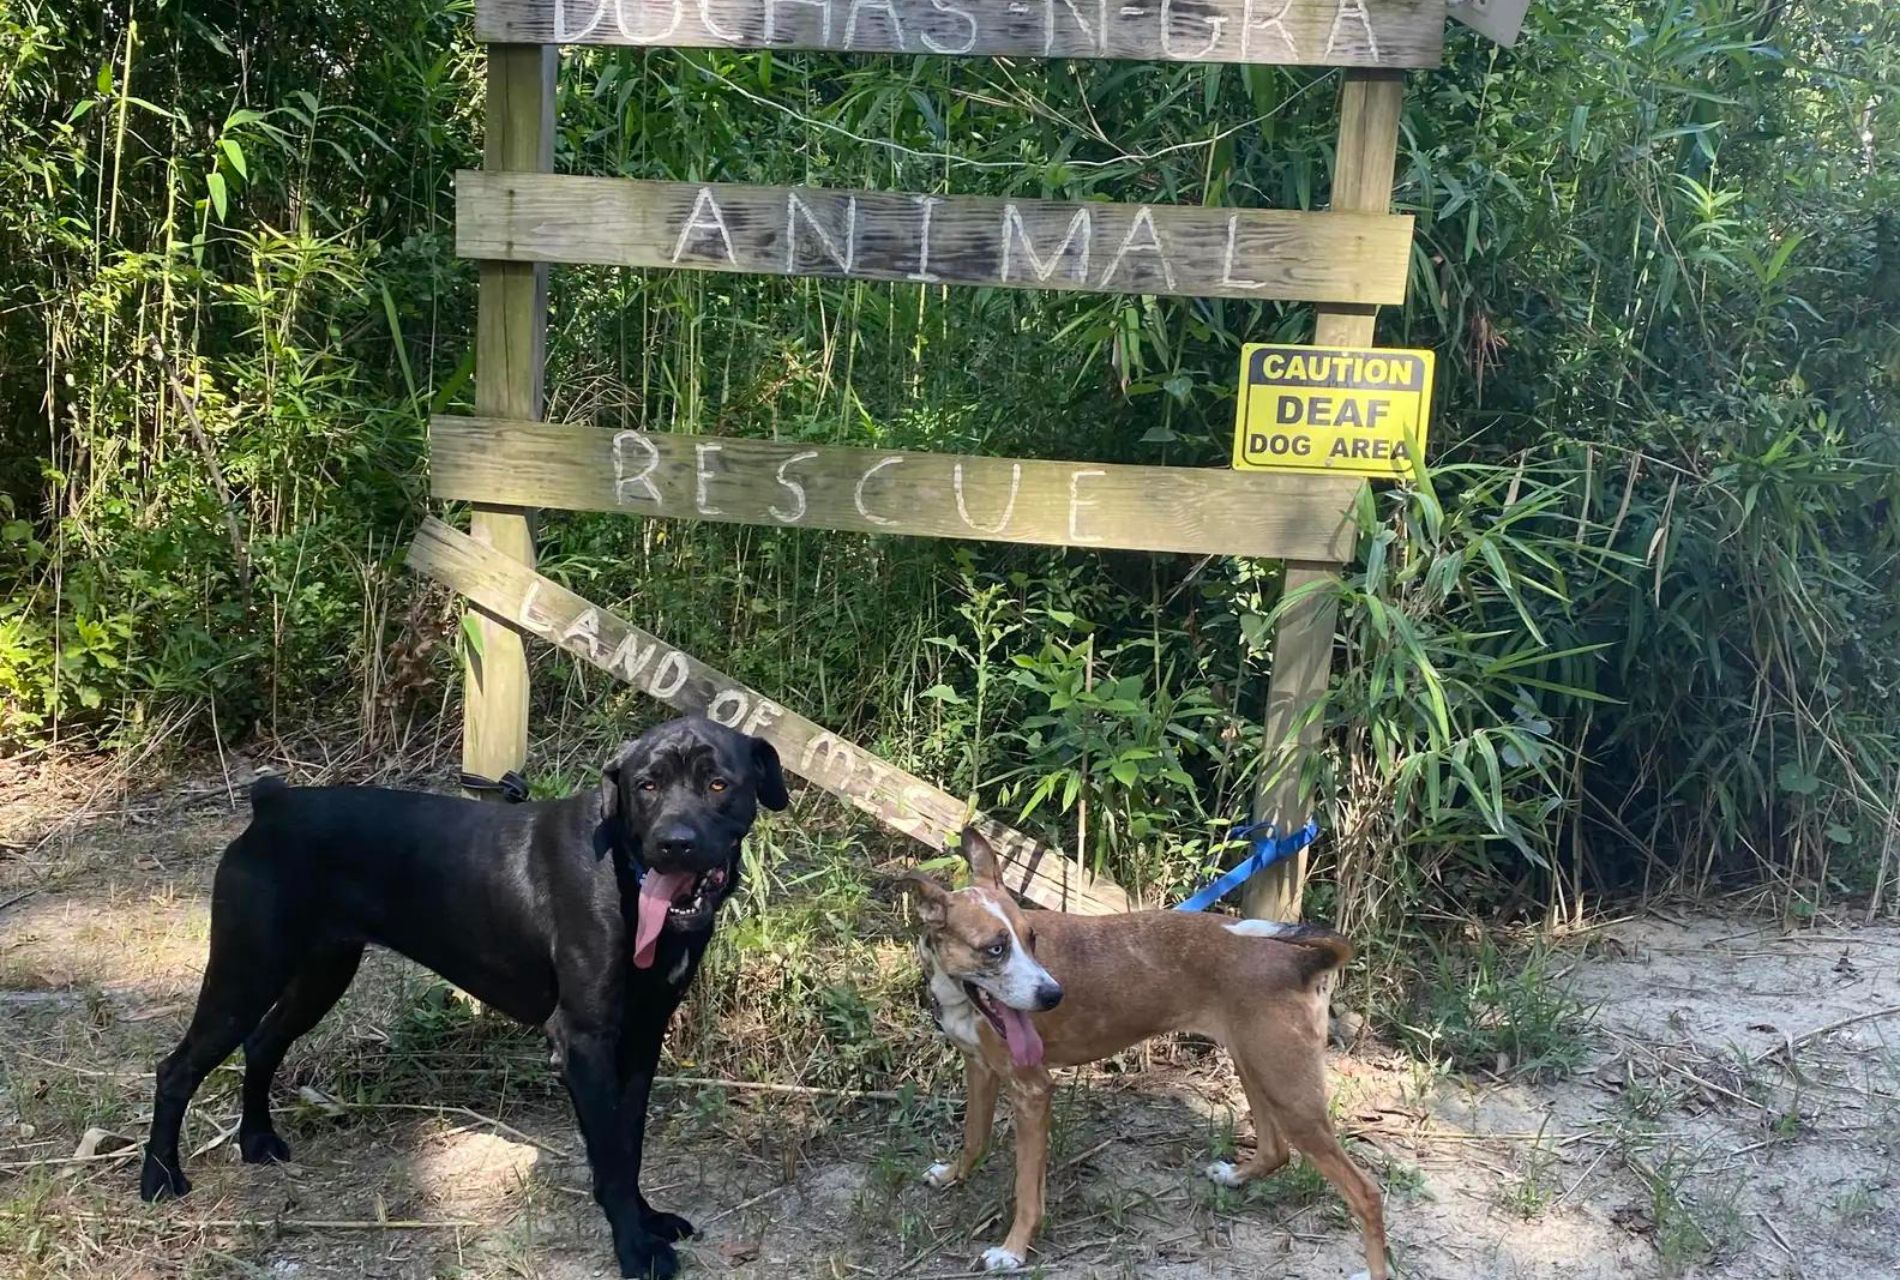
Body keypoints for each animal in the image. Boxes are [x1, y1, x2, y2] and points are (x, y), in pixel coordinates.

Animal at [137, 714, 782, 1268]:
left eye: (718, 783)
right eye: (646, 786)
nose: (674, 842)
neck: (623, 870)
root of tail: (273, 802)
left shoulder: (642, 1037)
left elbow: (629, 1141)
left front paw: (647, 1222)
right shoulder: (585, 1040)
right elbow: (612, 1156)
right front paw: (636, 1249)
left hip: (319, 974)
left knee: (263, 1044)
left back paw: (257, 1139)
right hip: (245, 972)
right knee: (177, 1068)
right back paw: (160, 1179)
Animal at [900, 824, 1383, 1268]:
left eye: (1031, 938)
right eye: (995, 949)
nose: (1054, 995)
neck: (962, 995)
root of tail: (1299, 958)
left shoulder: (1032, 1090)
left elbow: (1026, 1189)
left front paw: (1014, 1249)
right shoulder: (980, 1070)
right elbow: (973, 1139)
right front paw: (953, 1177)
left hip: (1289, 1091)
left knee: (1366, 1193)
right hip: (1256, 1068)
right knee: (1275, 1150)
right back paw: (1236, 1175)